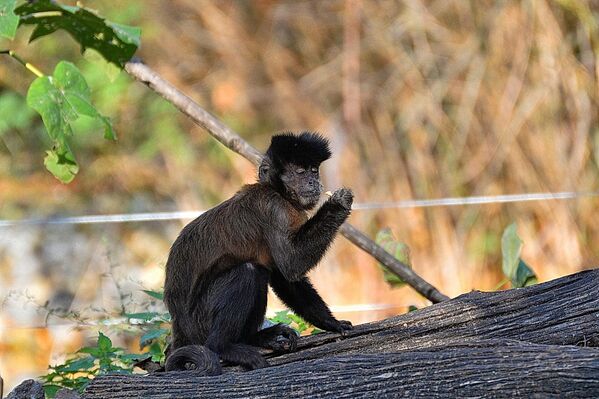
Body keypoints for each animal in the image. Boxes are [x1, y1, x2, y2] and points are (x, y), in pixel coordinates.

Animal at [162, 133, 354, 374]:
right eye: (301, 172)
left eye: (313, 170)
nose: (313, 181)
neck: (277, 191)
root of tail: (179, 327)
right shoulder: (274, 209)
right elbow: (291, 264)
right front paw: (338, 203)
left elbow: (285, 277)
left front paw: (332, 323)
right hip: (199, 323)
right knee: (248, 271)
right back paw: (224, 347)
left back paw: (254, 338)